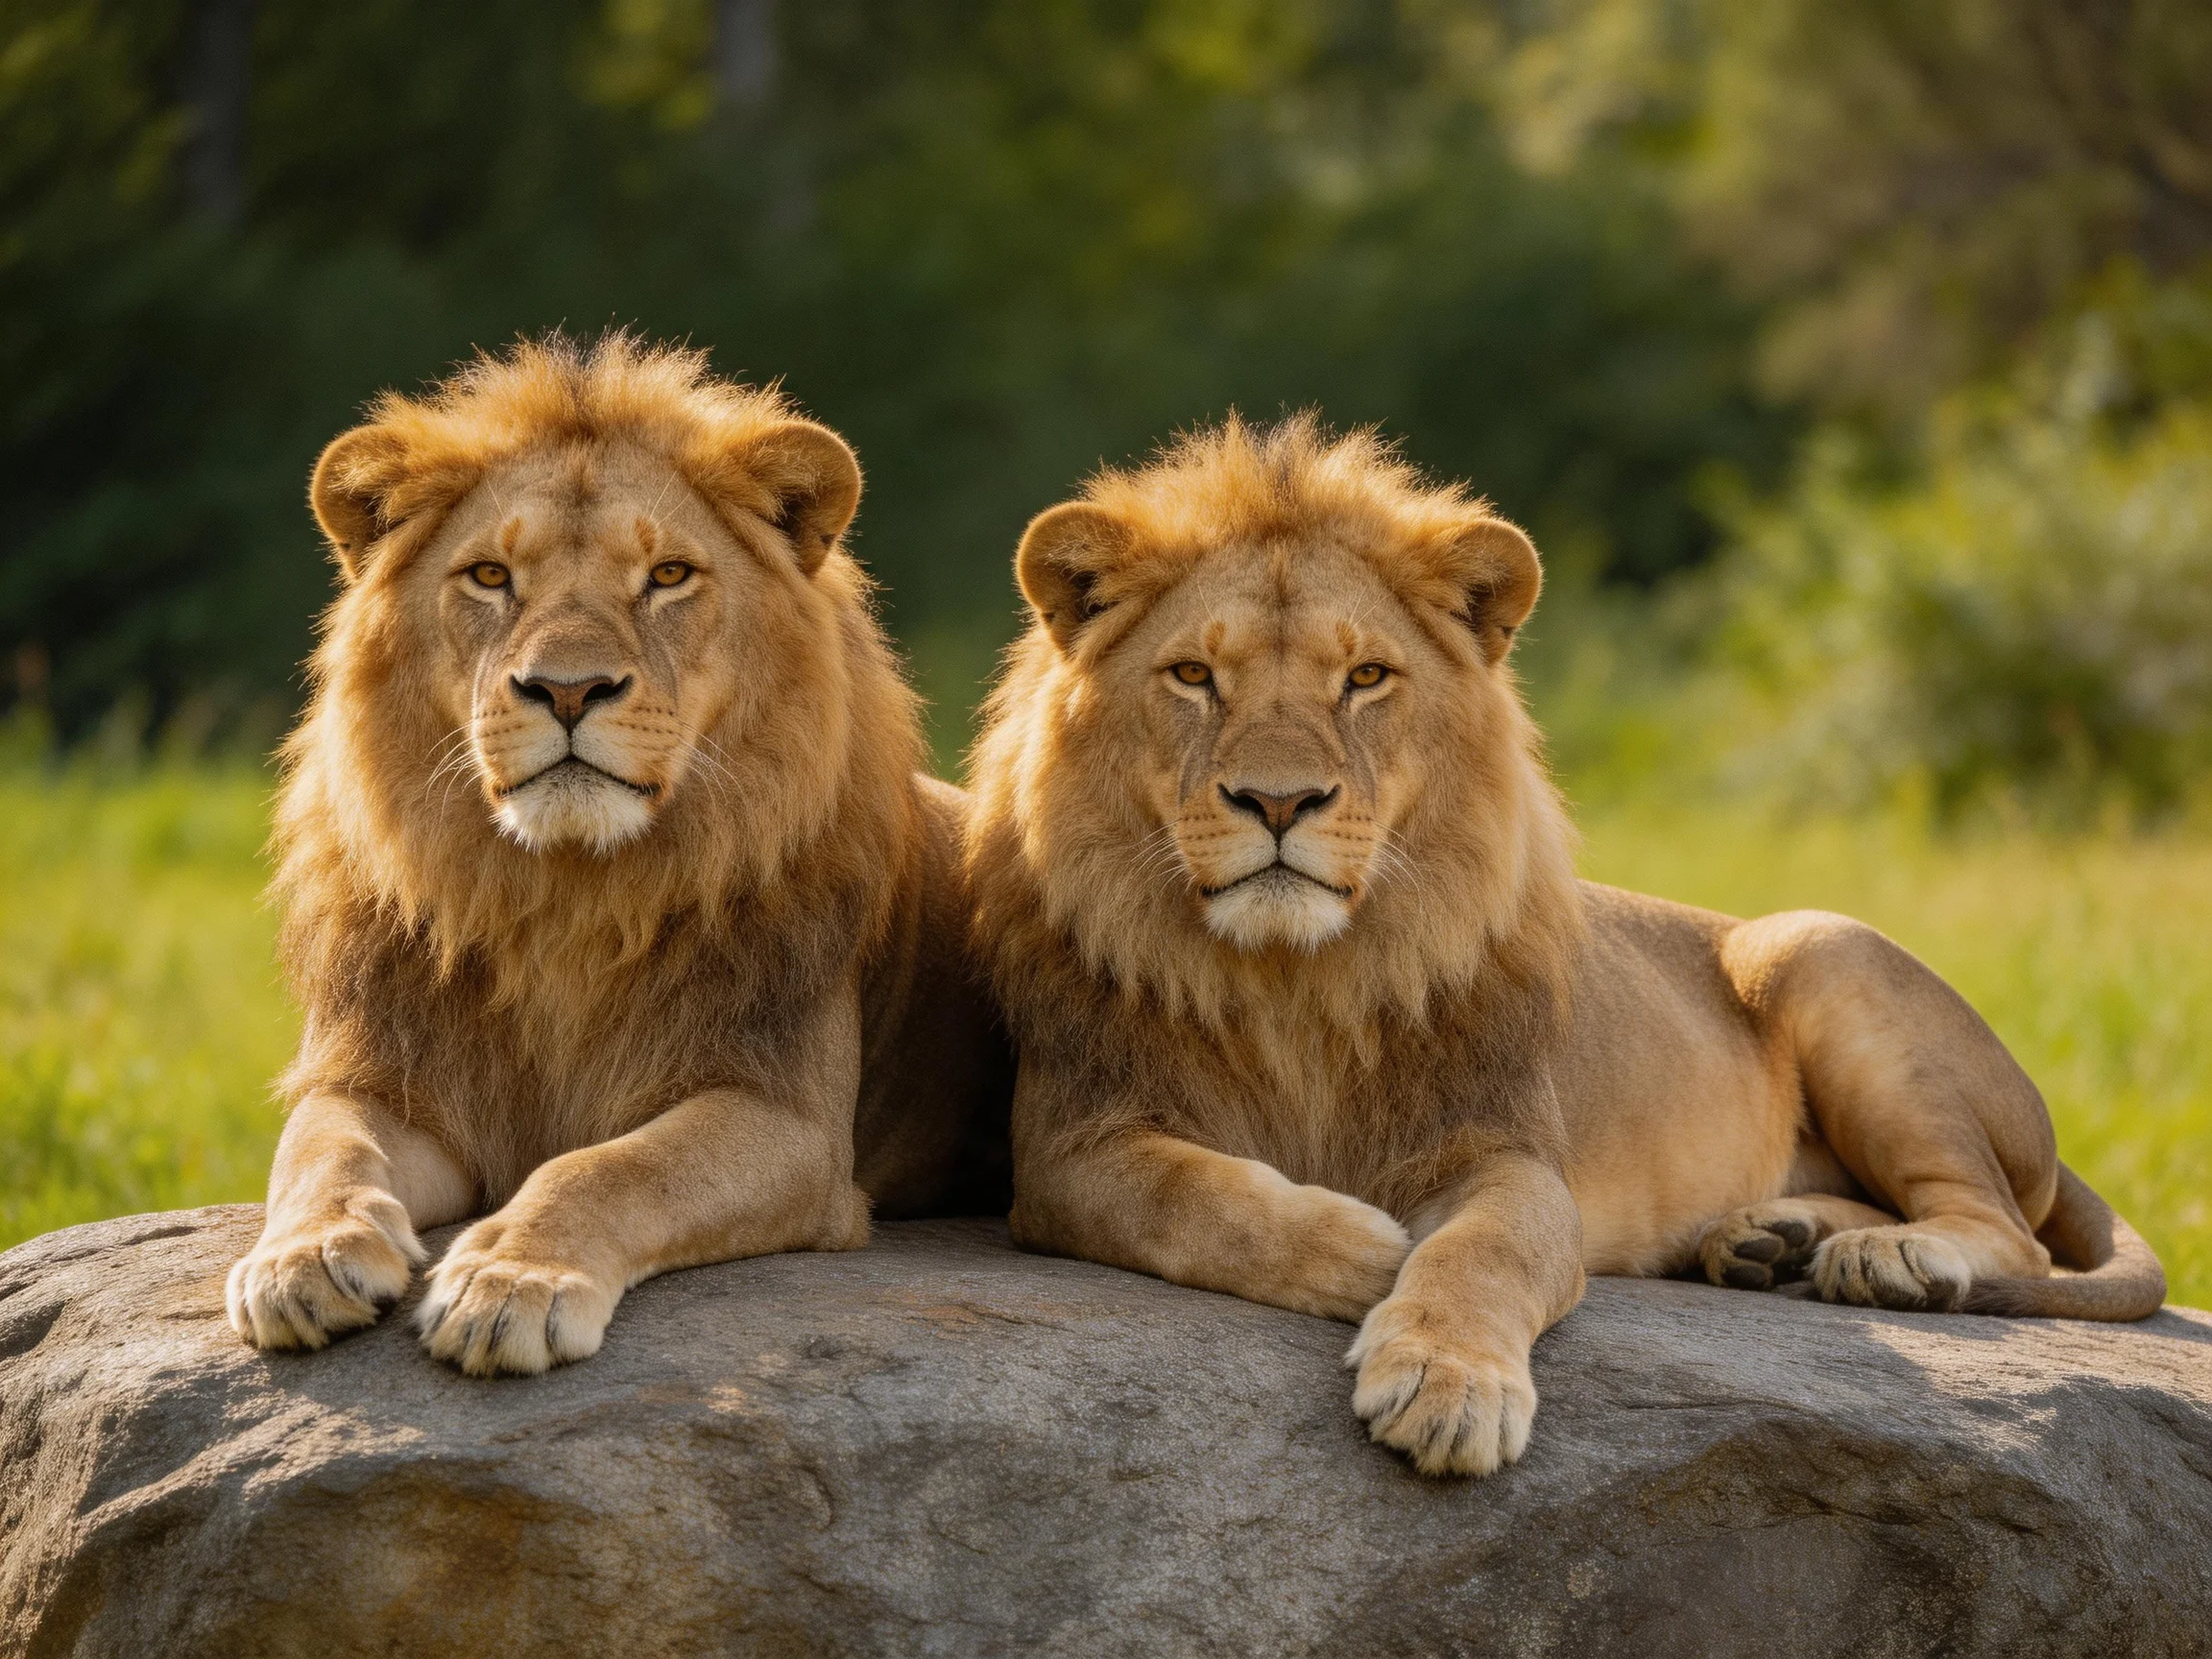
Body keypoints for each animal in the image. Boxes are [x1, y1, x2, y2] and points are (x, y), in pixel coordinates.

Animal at [225, 333, 1010, 1377]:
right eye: (489, 577)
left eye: (669, 575)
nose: (566, 689)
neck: (569, 896)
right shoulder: (378, 1075)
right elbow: (321, 1151)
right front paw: (305, 1257)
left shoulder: (787, 1122)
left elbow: (609, 1168)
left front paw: (510, 1280)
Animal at [966, 415, 2165, 1478]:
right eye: (1193, 677)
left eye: (1365, 679)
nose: (1278, 801)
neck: (1294, 978)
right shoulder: (1068, 1146)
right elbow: (1188, 1194)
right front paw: (1361, 1249)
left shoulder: (1510, 1154)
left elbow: (1480, 1251)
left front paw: (1447, 1384)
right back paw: (1765, 1241)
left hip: (1815, 949)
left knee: (2006, 1228)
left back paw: (1888, 1257)